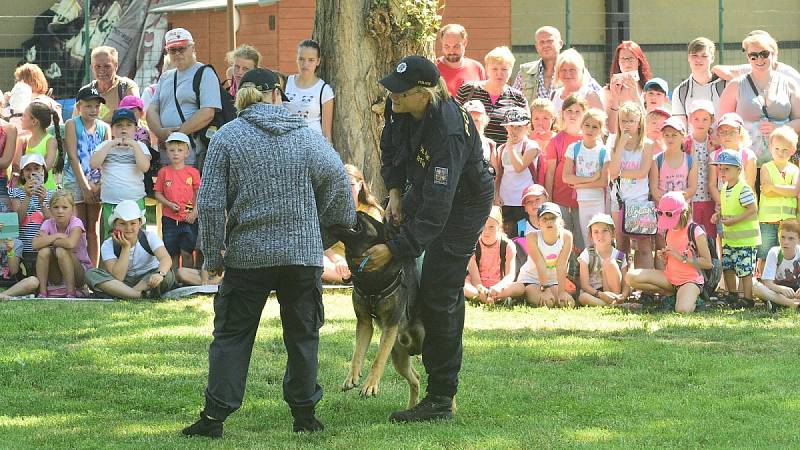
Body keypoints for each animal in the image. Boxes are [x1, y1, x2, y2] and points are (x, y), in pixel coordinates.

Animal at [332, 211, 424, 408]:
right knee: (416, 377)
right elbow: (357, 352)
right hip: (400, 359)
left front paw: (370, 385)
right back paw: (412, 406)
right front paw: (352, 377)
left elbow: (378, 358)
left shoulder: (390, 326)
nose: (356, 211)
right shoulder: (364, 323)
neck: (371, 279)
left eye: (364, 215)